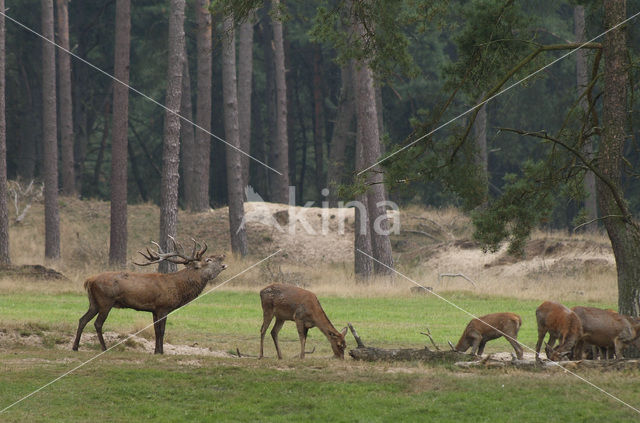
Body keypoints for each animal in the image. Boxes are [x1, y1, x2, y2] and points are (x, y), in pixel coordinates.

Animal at [72, 238, 228, 354]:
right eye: (208, 260)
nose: (223, 255)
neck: (178, 288)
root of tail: (89, 280)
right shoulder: (163, 307)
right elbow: (161, 331)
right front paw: (161, 352)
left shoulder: (154, 310)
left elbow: (155, 330)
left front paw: (156, 351)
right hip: (106, 301)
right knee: (97, 323)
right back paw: (104, 348)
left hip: (94, 302)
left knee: (82, 319)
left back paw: (75, 347)